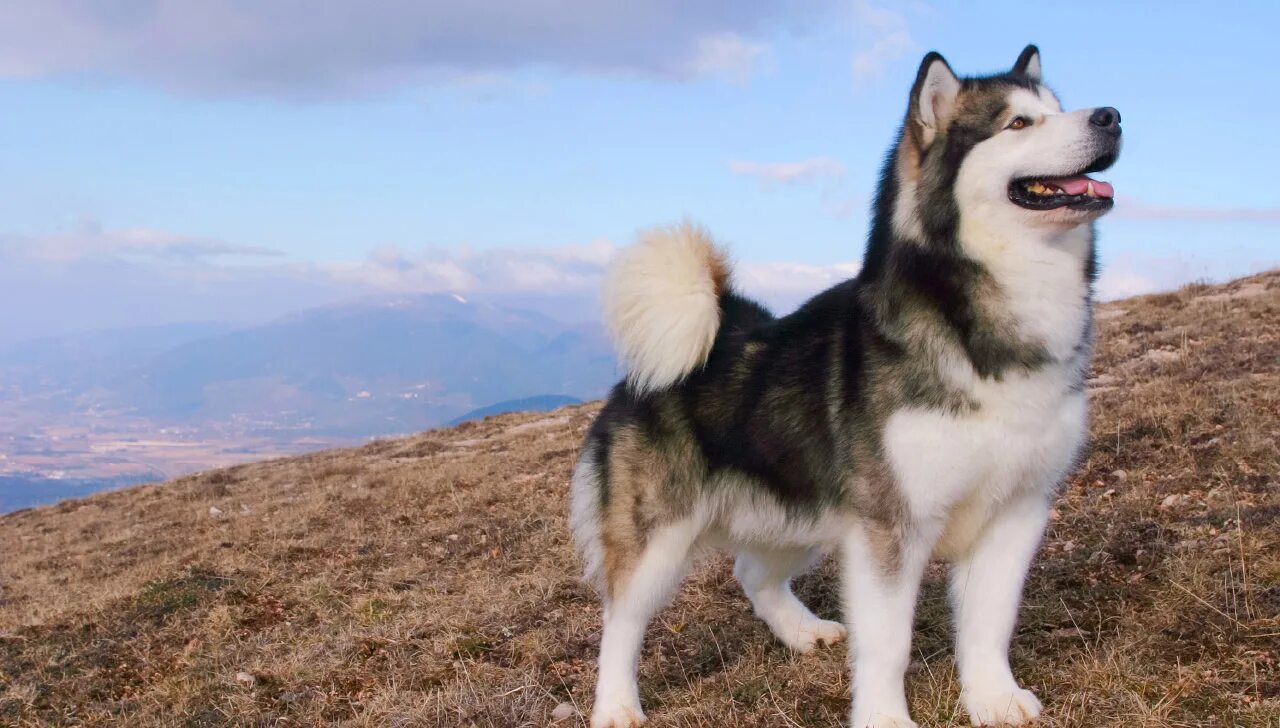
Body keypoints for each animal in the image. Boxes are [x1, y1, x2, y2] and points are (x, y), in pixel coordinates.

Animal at [570, 46, 1121, 726]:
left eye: (1055, 108)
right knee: (621, 621)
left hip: (799, 513)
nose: (1111, 116)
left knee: (752, 572)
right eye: (1019, 123)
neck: (984, 319)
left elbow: (990, 623)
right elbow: (888, 642)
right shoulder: (889, 527)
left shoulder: (1015, 512)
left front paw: (992, 697)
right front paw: (886, 717)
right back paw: (616, 705)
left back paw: (802, 632)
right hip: (659, 540)